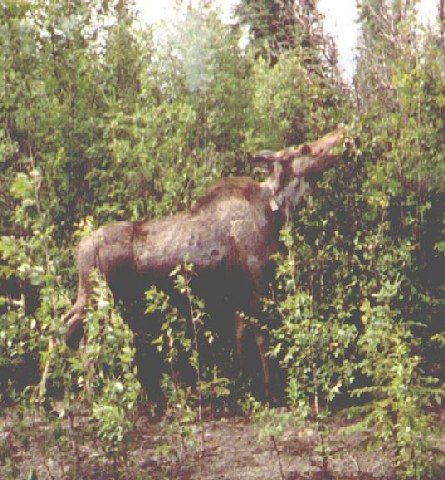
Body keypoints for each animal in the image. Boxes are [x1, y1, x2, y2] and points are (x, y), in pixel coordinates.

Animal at [64, 127, 344, 398]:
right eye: (304, 148)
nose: (341, 134)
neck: (274, 213)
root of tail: (79, 248)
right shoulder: (256, 281)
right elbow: (261, 336)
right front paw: (270, 391)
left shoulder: (238, 290)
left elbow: (240, 335)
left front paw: (242, 382)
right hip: (98, 296)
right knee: (79, 334)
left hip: (94, 296)